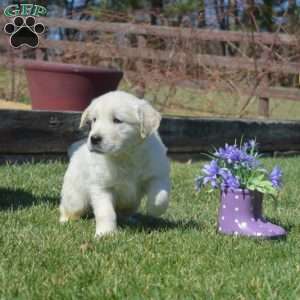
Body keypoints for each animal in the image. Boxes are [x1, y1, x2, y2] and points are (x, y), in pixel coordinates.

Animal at [59, 91, 170, 237]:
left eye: (117, 120)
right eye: (94, 120)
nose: (94, 139)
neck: (125, 155)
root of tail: (77, 150)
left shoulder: (157, 174)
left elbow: (161, 196)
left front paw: (154, 210)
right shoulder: (101, 187)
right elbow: (106, 212)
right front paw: (105, 233)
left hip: (131, 204)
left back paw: (131, 219)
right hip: (76, 198)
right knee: (68, 207)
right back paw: (65, 220)